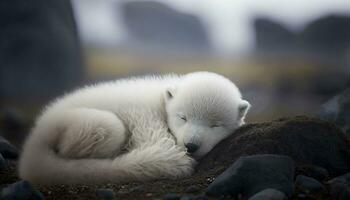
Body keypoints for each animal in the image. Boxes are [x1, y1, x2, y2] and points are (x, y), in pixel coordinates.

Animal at [19, 71, 250, 184]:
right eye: (183, 117)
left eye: (215, 125)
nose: (191, 145)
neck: (161, 97)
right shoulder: (143, 113)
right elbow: (158, 146)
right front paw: (176, 162)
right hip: (70, 123)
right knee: (108, 129)